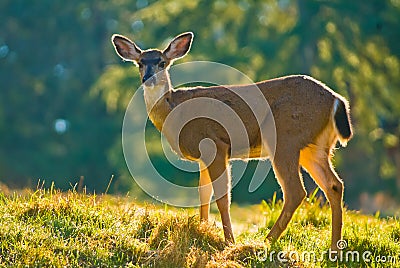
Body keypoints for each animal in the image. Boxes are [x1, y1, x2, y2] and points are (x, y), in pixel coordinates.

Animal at [111, 31, 352, 251]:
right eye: (140, 63)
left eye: (162, 62)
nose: (148, 78)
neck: (175, 112)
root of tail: (336, 100)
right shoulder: (203, 157)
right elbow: (203, 193)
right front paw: (202, 229)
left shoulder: (215, 144)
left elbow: (222, 197)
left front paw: (228, 242)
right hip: (315, 147)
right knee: (334, 185)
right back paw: (334, 248)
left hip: (286, 138)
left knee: (295, 191)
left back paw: (265, 241)